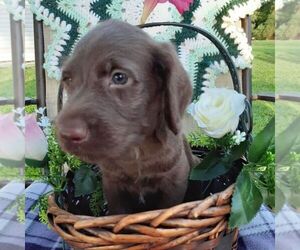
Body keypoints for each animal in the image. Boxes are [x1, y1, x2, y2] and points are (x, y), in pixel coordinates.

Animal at [55, 20, 193, 215]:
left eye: (119, 77)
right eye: (68, 79)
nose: (66, 133)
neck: (135, 150)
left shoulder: (175, 181)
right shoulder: (113, 185)